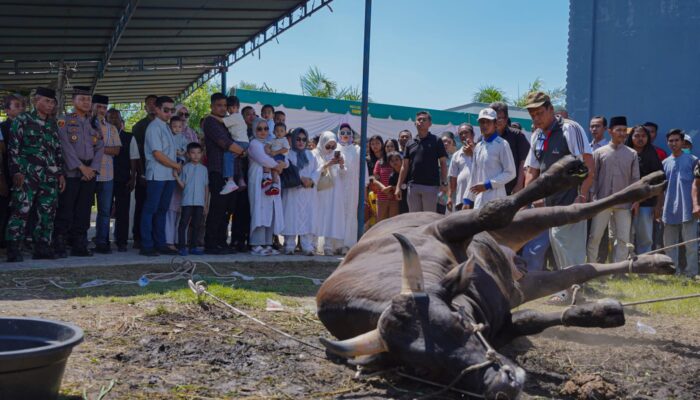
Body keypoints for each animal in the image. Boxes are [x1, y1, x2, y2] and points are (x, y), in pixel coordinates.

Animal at [318, 156, 672, 400]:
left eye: (459, 323)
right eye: (421, 368)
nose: (502, 385)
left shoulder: (447, 227)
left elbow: (496, 209)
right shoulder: (501, 323)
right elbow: (533, 320)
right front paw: (603, 313)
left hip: (518, 224)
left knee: (570, 211)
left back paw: (623, 181)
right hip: (522, 284)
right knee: (580, 270)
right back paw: (653, 262)